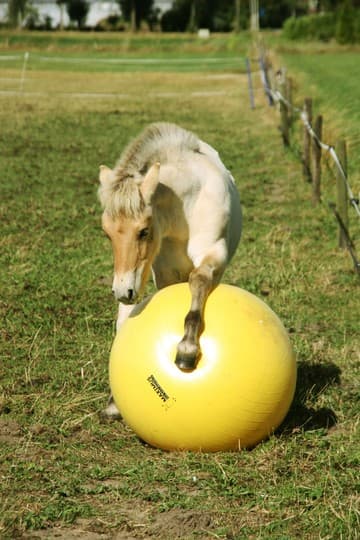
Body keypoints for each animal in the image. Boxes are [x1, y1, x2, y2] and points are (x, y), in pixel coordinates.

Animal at [98, 121, 242, 418]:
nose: (122, 291)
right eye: (107, 233)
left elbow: (199, 280)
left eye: (144, 231)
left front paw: (186, 351)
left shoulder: (214, 254)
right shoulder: (163, 273)